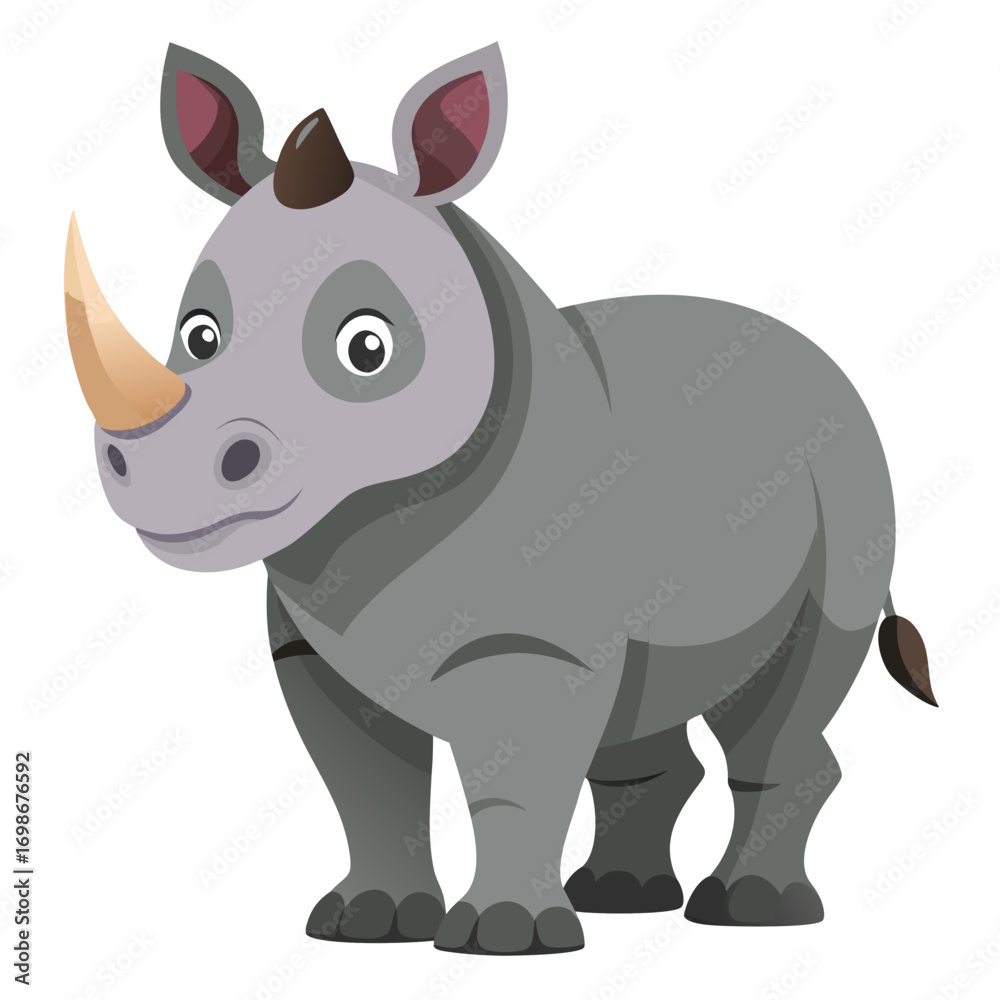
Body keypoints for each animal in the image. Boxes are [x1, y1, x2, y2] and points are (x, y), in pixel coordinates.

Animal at [64, 42, 936, 955]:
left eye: (367, 348)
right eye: (198, 335)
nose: (159, 468)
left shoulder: (533, 645)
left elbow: (516, 780)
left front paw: (503, 939)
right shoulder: (311, 652)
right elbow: (365, 786)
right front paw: (363, 923)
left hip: (850, 477)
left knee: (784, 705)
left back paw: (749, 910)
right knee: (646, 709)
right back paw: (621, 897)